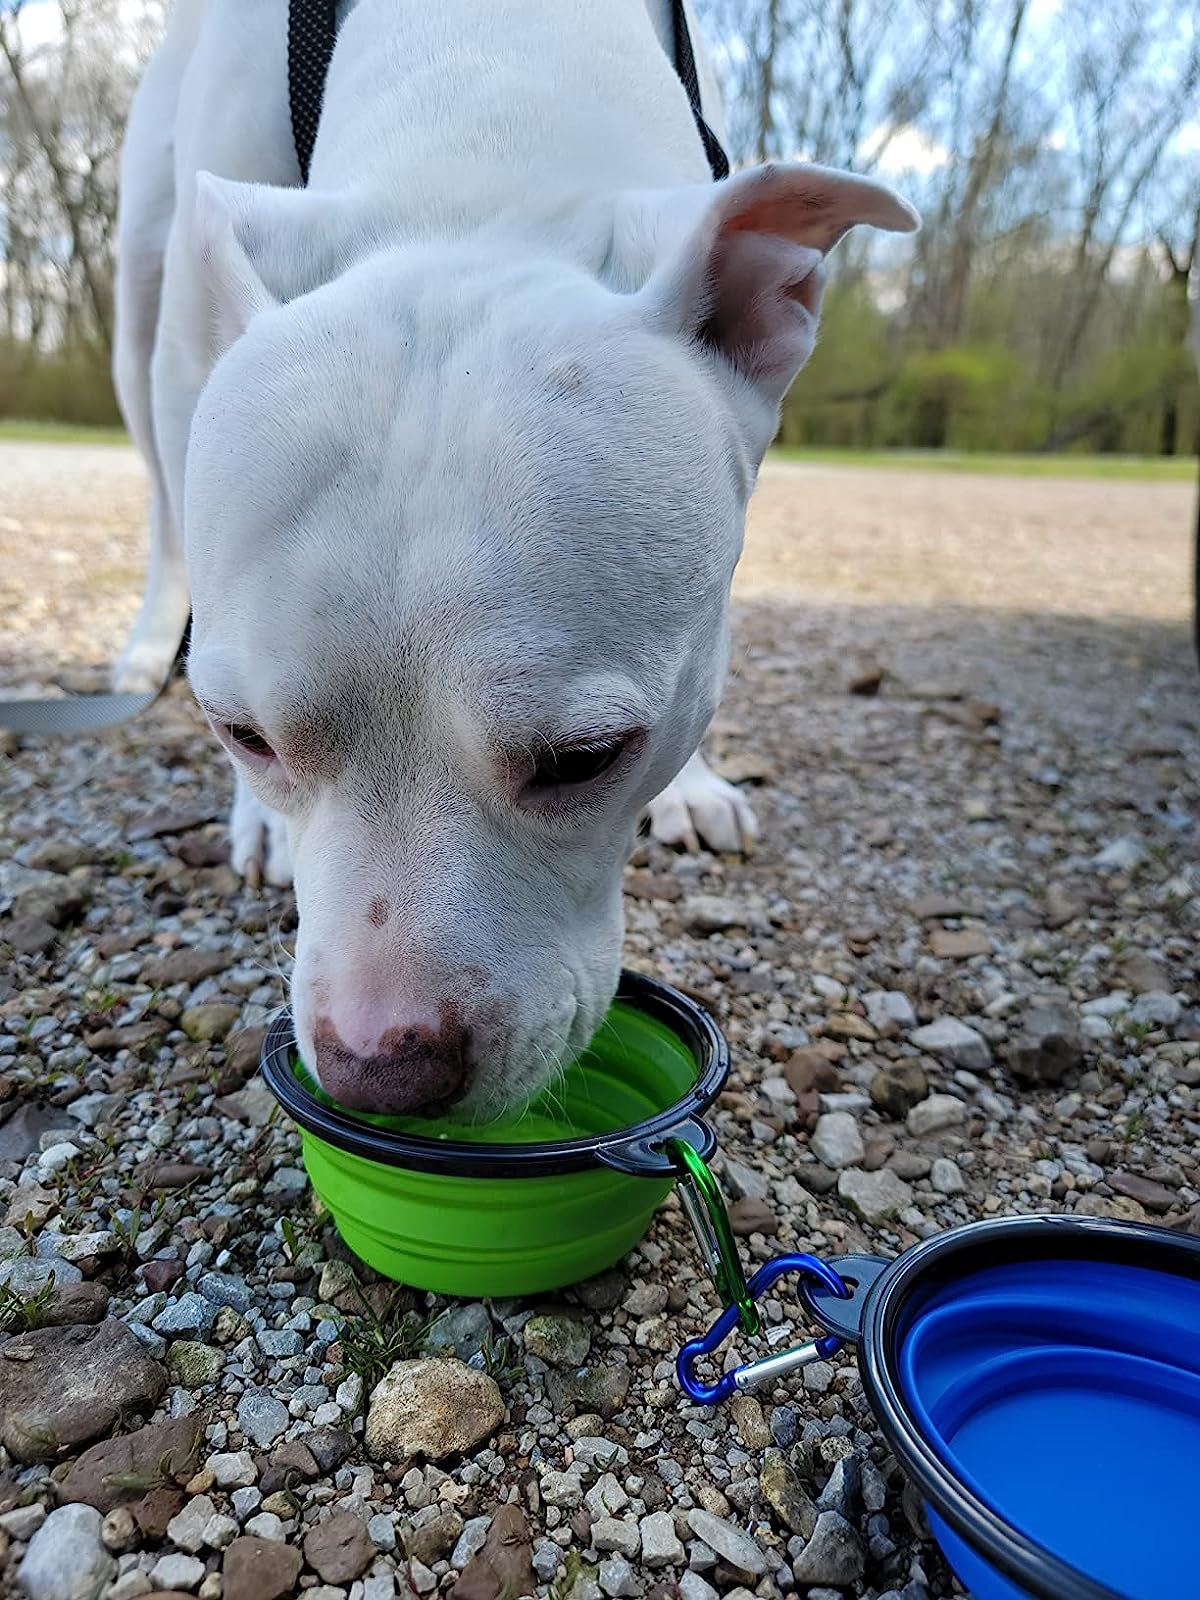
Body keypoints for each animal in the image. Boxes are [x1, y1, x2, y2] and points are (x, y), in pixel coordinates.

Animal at [115, 0, 921, 1120]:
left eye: (587, 759)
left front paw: (691, 780)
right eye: (244, 735)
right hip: (142, 296)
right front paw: (259, 817)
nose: (382, 1070)